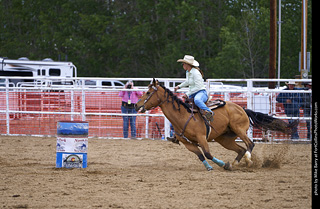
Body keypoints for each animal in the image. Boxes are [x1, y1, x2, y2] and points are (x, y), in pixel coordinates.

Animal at [134, 79, 298, 171]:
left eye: (148, 92)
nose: (136, 105)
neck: (183, 116)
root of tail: (242, 108)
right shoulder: (187, 143)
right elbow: (200, 155)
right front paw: (210, 167)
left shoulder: (202, 138)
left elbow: (207, 153)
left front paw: (222, 164)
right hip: (224, 139)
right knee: (241, 149)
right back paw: (235, 164)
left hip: (239, 129)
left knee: (250, 144)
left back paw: (247, 160)